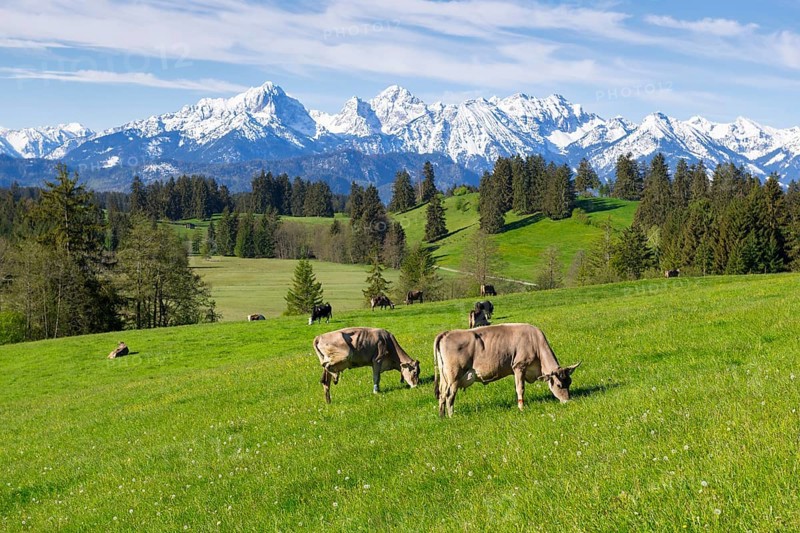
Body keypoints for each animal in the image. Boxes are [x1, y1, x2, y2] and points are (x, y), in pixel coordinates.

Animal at [433, 323, 581, 417]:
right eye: (559, 385)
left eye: (569, 383)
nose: (568, 401)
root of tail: (446, 333)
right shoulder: (519, 366)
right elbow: (520, 388)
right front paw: (521, 408)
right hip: (454, 377)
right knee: (450, 396)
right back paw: (452, 416)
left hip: (445, 378)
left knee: (442, 394)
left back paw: (442, 416)